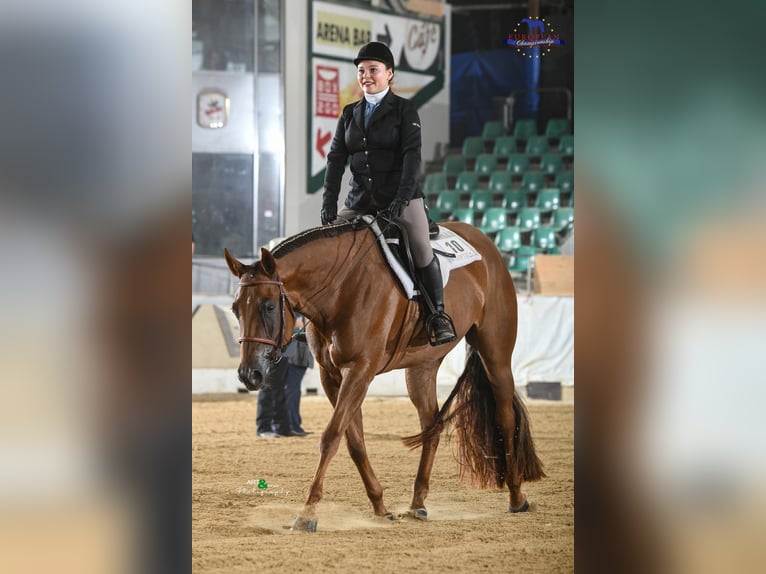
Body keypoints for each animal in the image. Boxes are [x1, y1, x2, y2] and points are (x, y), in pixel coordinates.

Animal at [224, 218, 545, 532]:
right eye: (235, 309)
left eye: (268, 307)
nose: (249, 374)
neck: (341, 288)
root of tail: (485, 242)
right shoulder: (332, 377)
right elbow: (353, 441)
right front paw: (380, 507)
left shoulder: (360, 370)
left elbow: (330, 437)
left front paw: (307, 513)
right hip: (421, 368)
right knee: (432, 426)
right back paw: (417, 503)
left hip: (495, 354)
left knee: (505, 419)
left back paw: (516, 497)